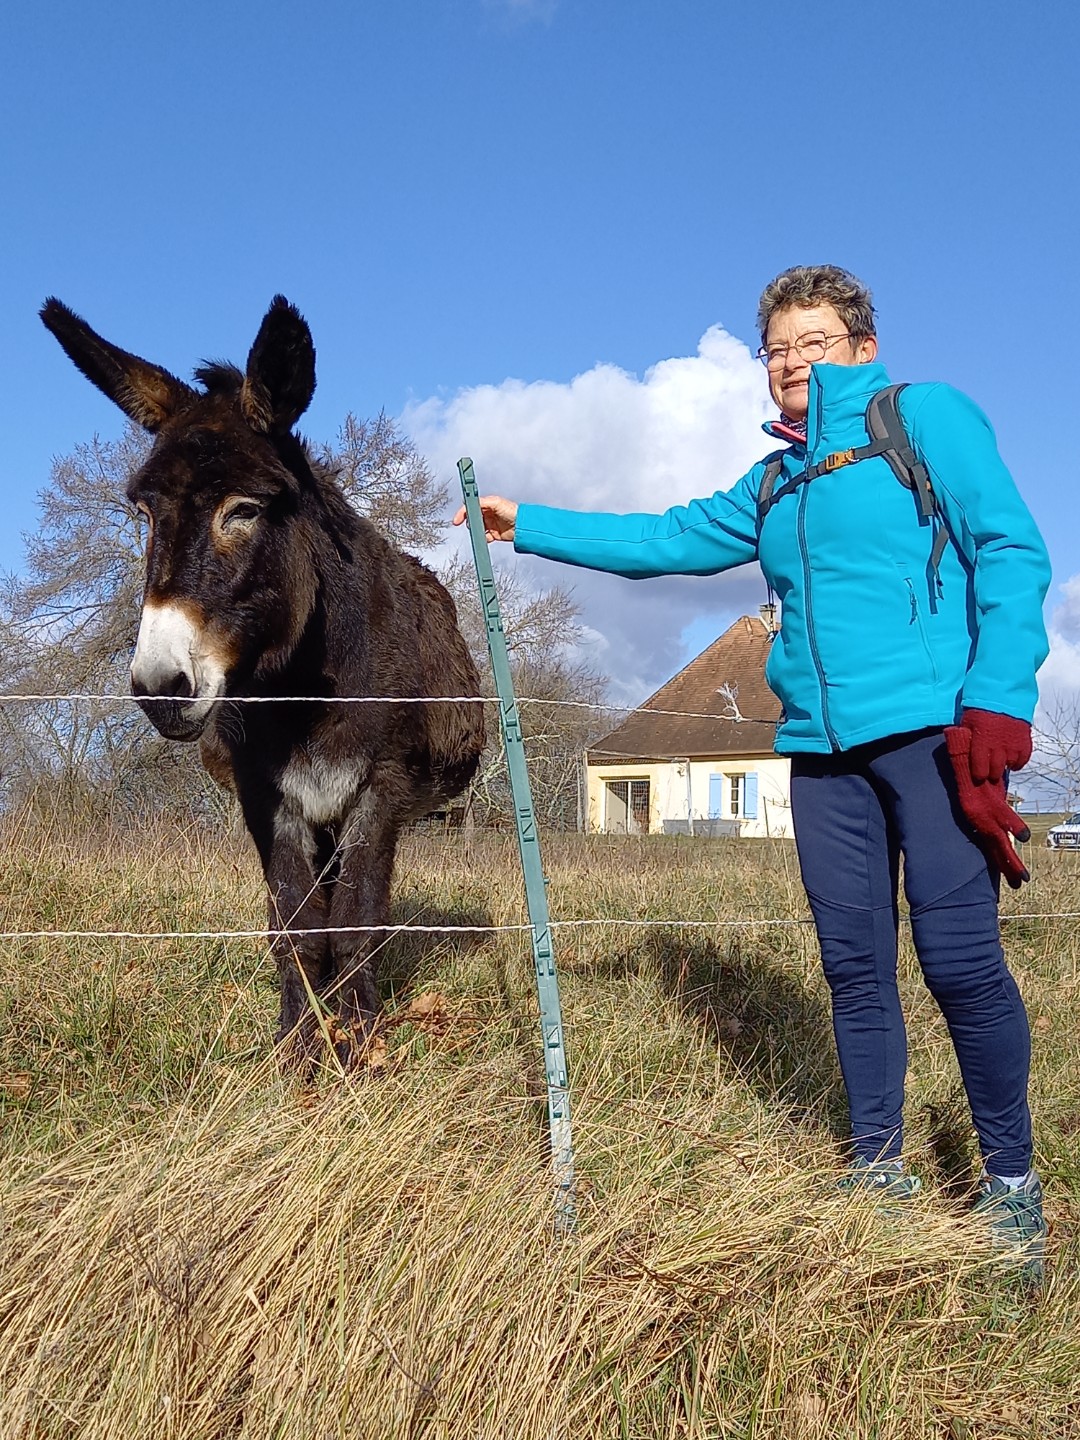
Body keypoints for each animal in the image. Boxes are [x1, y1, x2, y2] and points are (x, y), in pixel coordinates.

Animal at [40, 295, 485, 1067]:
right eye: (143, 511)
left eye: (244, 510)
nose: (160, 687)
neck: (304, 691)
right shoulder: (263, 792)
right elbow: (296, 925)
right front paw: (297, 1047)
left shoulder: (383, 786)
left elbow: (356, 920)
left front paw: (358, 1047)